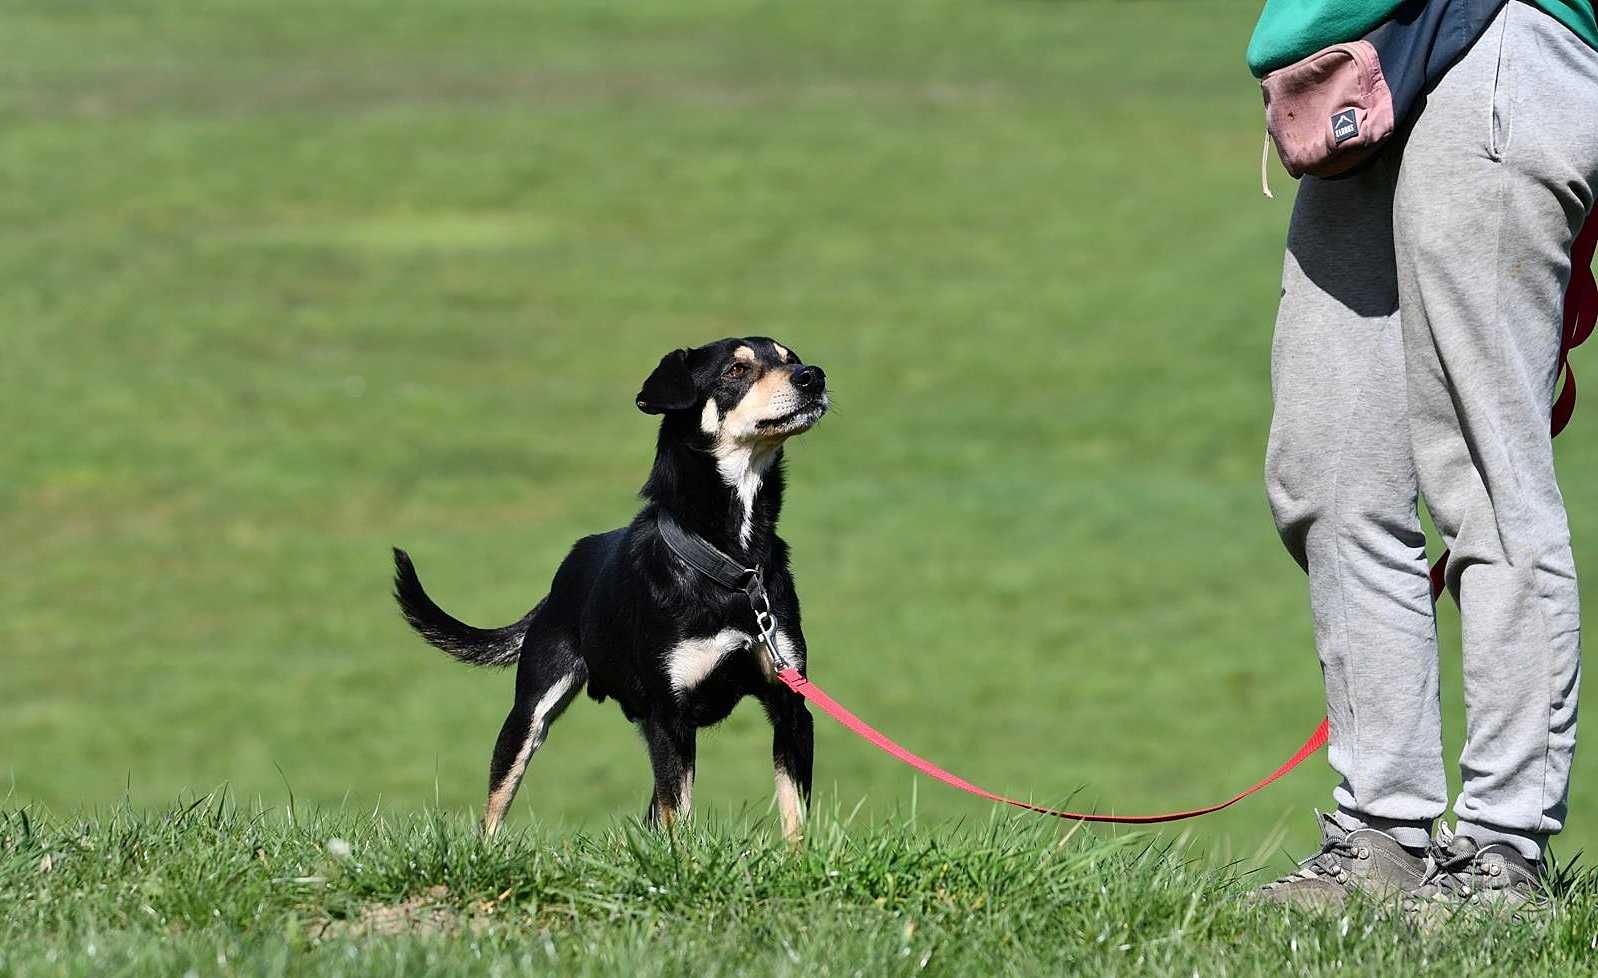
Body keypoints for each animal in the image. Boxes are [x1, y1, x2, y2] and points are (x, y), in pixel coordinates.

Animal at [393, 340, 830, 837]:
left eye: (789, 357)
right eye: (736, 370)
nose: (812, 376)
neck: (732, 562)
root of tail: (561, 579)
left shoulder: (790, 706)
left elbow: (793, 814)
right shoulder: (670, 716)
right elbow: (679, 815)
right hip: (530, 711)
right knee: (495, 804)